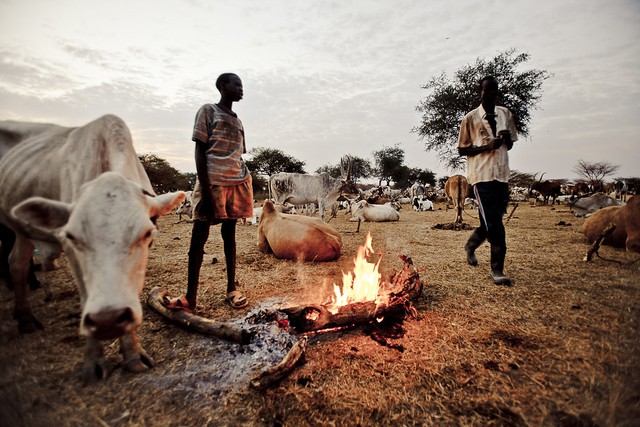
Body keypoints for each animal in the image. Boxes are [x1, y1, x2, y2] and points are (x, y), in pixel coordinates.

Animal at [0, 114, 185, 384]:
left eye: (147, 234)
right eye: (72, 236)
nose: (107, 320)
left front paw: (133, 354)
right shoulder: (71, 252)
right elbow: (86, 296)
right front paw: (94, 361)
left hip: (22, 229)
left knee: (18, 262)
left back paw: (24, 317)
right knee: (18, 264)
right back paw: (25, 320)